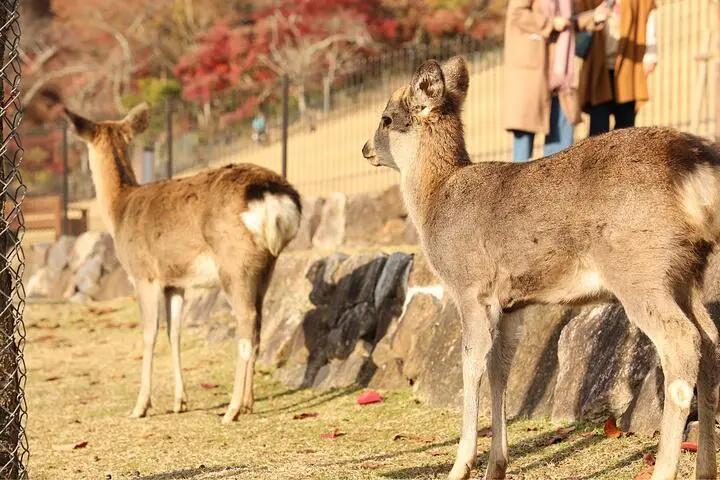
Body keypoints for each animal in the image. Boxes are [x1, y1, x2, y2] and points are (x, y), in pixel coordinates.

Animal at [65, 104, 300, 424]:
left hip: (234, 264)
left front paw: (140, 406)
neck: (119, 210)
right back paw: (248, 403)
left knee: (246, 320)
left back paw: (231, 409)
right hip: (266, 266)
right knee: (258, 325)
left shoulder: (144, 275)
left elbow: (149, 334)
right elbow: (174, 333)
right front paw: (180, 401)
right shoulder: (175, 283)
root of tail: (273, 197)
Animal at [362, 56, 720, 480]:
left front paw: (461, 467)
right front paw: (496, 467)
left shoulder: (470, 289)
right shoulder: (511, 304)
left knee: (683, 342)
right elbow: (500, 372)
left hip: (640, 269)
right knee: (710, 341)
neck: (435, 201)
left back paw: (664, 470)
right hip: (686, 273)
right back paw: (706, 470)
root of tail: (696, 171)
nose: (365, 149)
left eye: (386, 118)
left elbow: (471, 367)